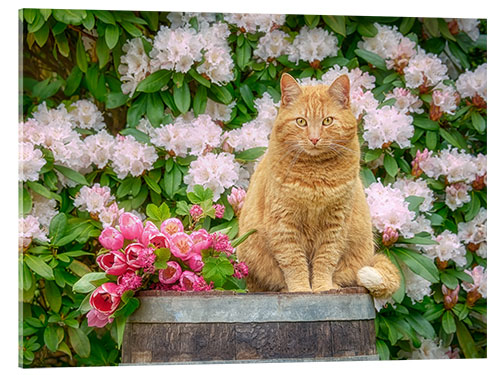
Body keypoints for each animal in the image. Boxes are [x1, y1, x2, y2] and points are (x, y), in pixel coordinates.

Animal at [236, 72, 400, 298]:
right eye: (301, 122)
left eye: (327, 121)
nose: (314, 138)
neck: (315, 174)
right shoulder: (284, 223)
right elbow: (294, 262)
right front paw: (301, 290)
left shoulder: (335, 223)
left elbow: (325, 260)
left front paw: (323, 288)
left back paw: (336, 285)